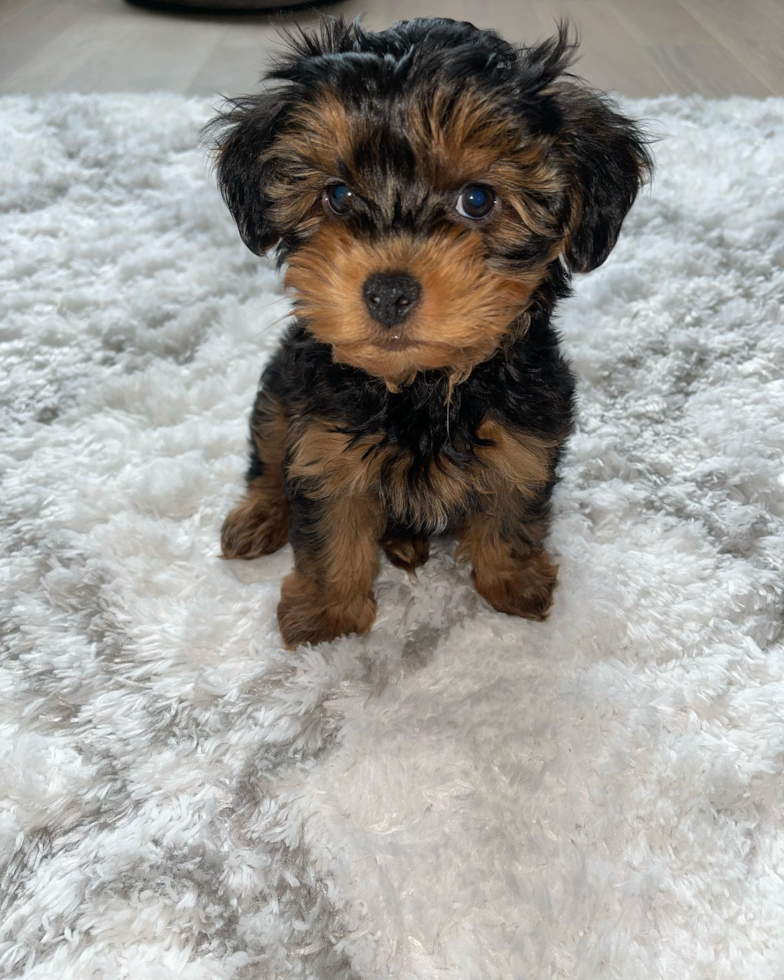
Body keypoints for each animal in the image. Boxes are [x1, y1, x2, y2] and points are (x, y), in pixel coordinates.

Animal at [207, 17, 648, 652]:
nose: (389, 291)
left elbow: (512, 510)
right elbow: (330, 530)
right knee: (267, 454)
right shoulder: (324, 444)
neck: (420, 387)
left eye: (477, 199)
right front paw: (325, 617)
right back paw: (259, 516)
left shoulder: (528, 436)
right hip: (280, 389)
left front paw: (512, 583)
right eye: (337, 195)